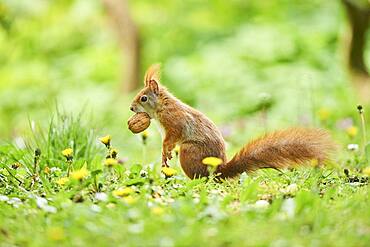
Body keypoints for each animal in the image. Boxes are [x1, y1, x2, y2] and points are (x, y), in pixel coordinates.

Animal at [130, 64, 336, 178]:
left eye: (143, 98)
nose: (131, 108)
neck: (162, 107)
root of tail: (220, 170)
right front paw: (163, 157)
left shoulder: (174, 122)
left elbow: (171, 139)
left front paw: (165, 153)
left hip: (189, 152)